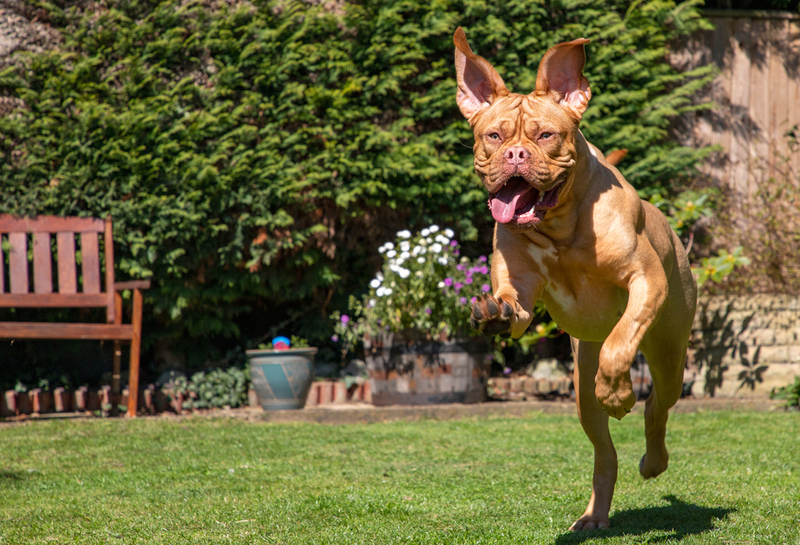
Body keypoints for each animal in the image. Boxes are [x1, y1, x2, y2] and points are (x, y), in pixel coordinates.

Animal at [454, 27, 696, 528]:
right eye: (493, 135)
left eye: (546, 135)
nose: (515, 154)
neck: (559, 226)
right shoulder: (522, 294)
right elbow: (515, 309)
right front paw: (492, 312)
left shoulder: (646, 281)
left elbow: (621, 341)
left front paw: (617, 391)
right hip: (581, 388)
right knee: (604, 451)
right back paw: (594, 514)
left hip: (670, 351)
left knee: (657, 404)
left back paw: (651, 456)